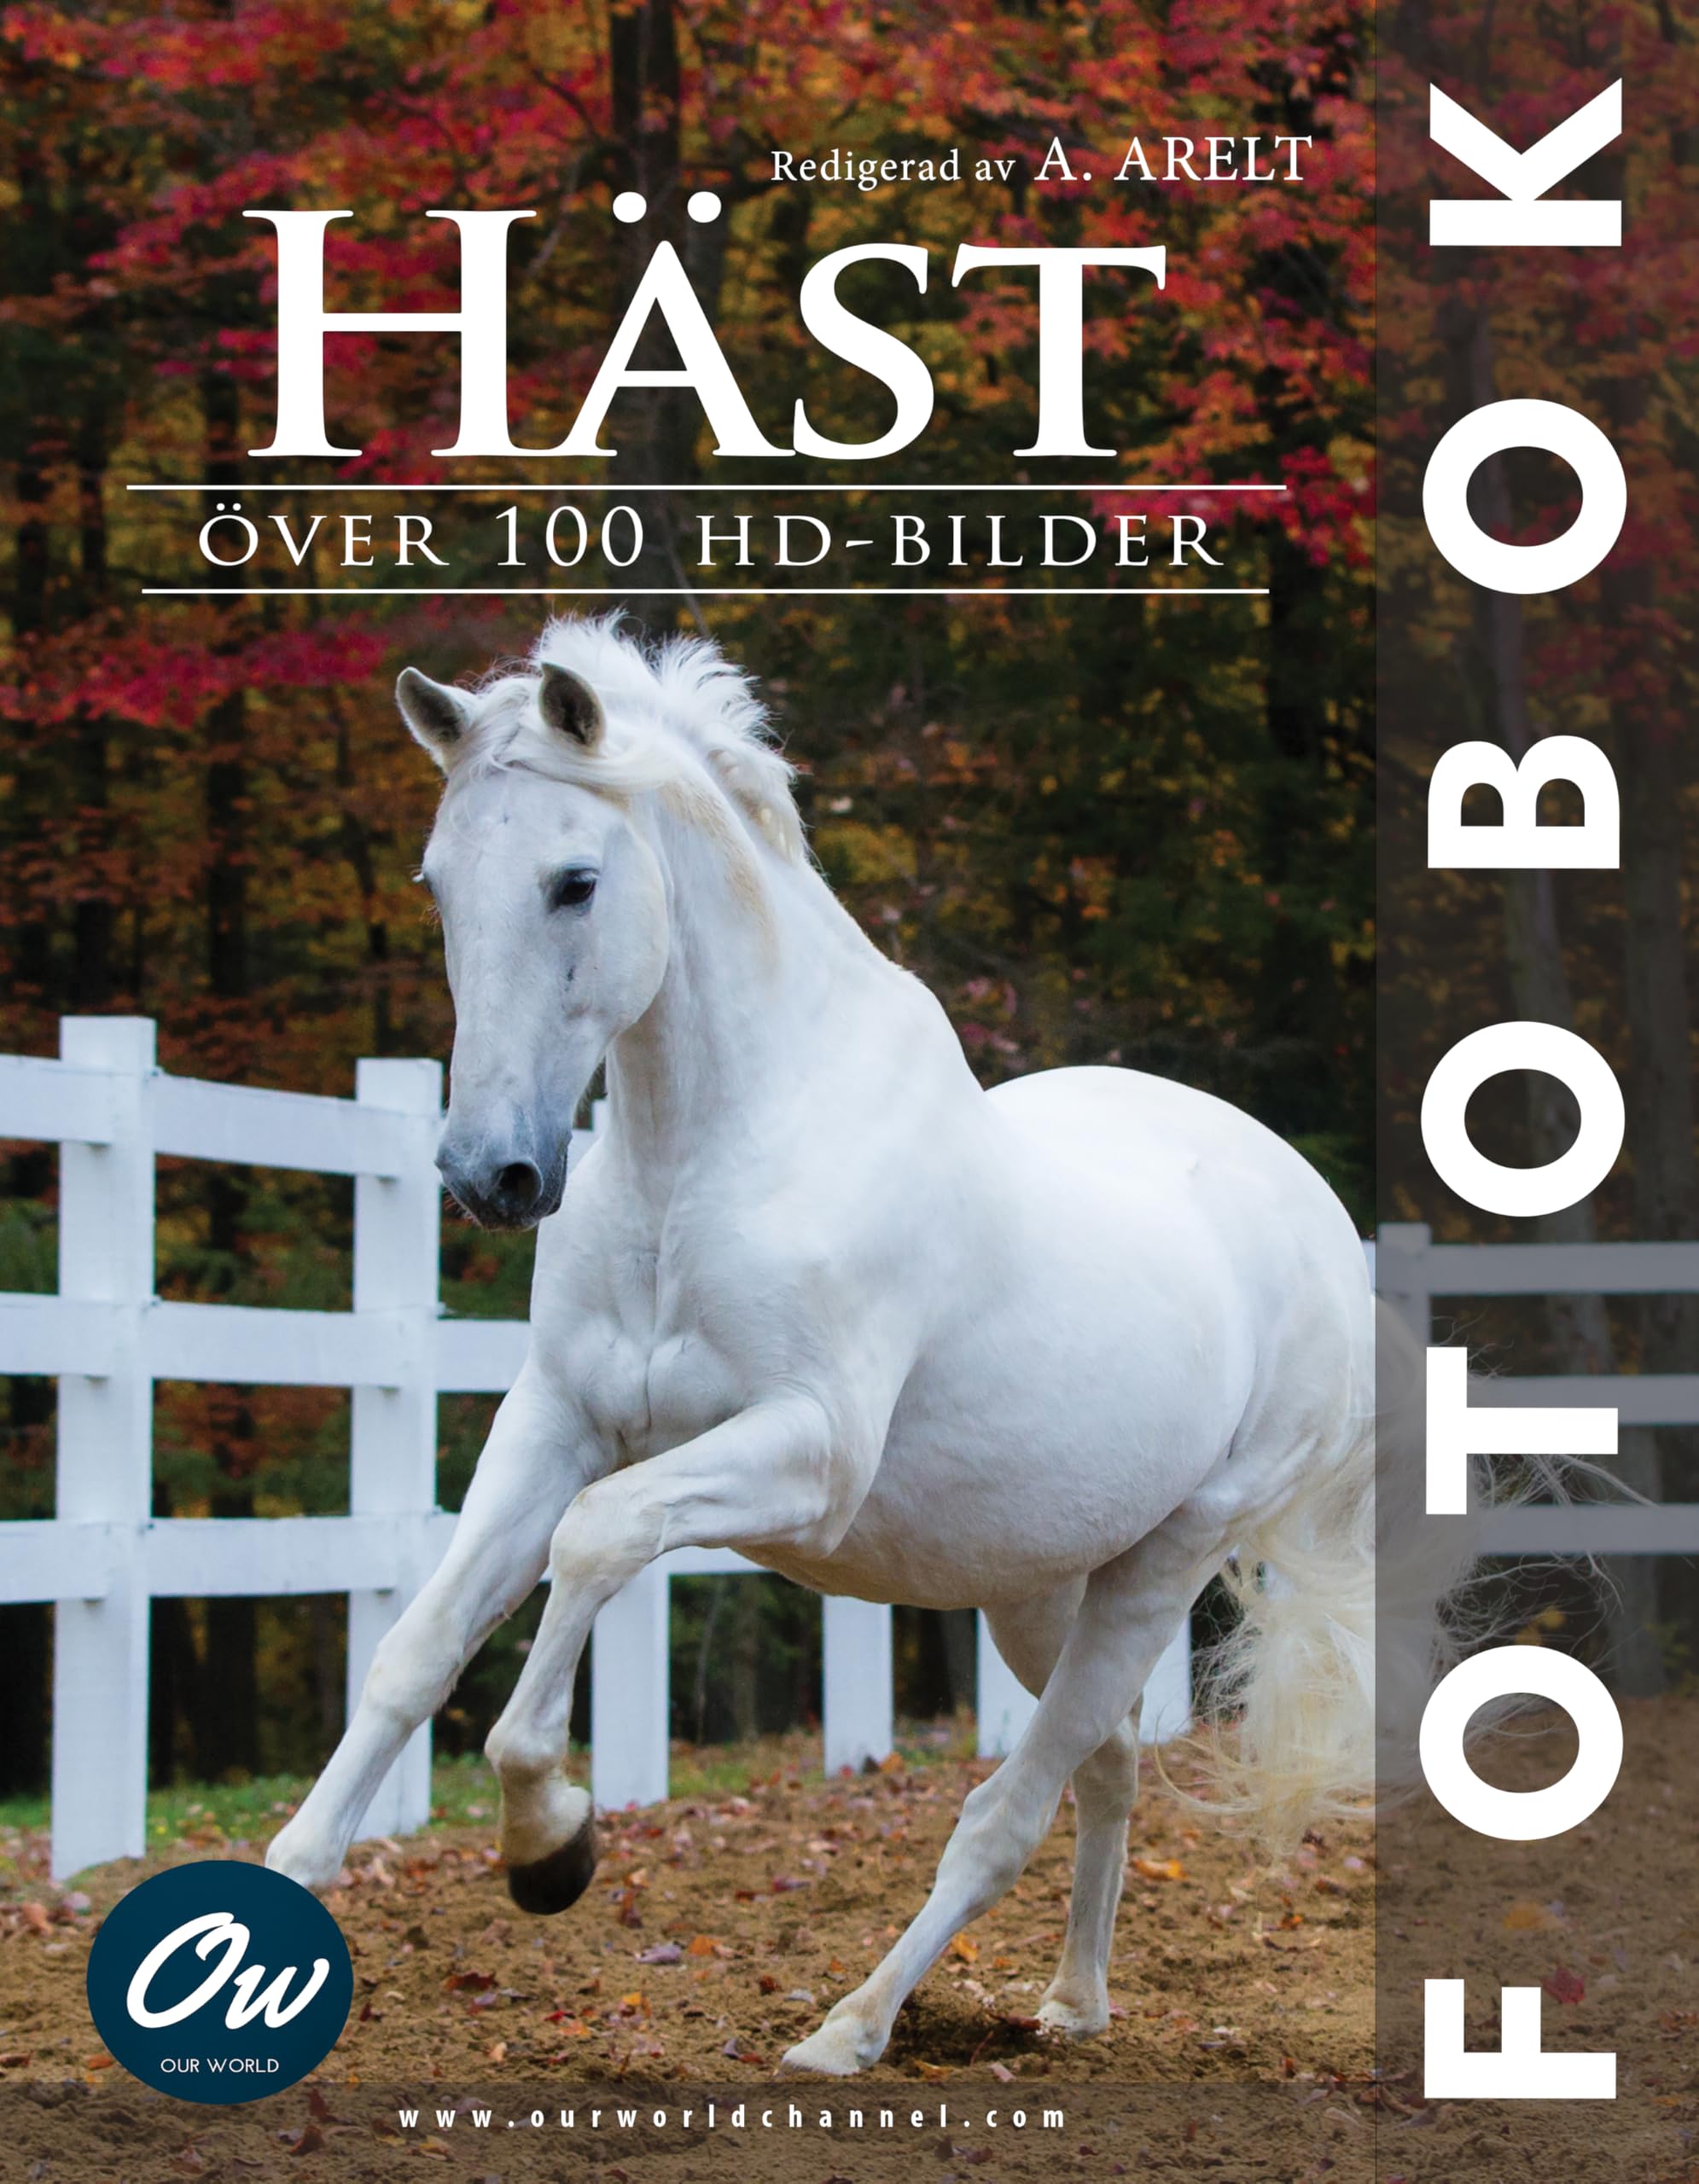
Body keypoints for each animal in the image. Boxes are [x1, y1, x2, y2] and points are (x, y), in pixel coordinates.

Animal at [266, 616, 1377, 2076]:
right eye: (438, 882)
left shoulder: (804, 1456)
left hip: (1162, 1565)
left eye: (574, 881)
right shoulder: (555, 1417)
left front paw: (549, 1844)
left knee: (1005, 1813)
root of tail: (1315, 1218)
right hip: (1037, 1588)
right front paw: (284, 1884)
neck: (705, 1163)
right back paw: (1070, 2006)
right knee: (1107, 1768)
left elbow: (595, 1543)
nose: (487, 1175)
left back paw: (849, 2028)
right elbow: (417, 1646)